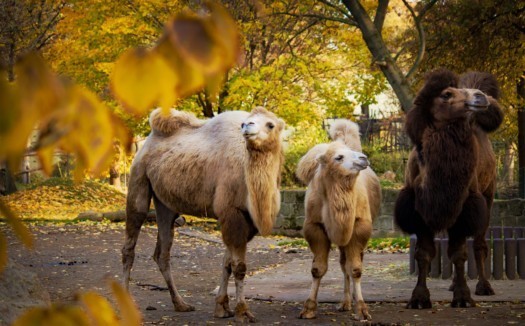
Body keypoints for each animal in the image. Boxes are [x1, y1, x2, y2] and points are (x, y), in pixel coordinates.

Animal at [121, 105, 284, 322]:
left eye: (270, 124)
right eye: (245, 122)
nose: (247, 126)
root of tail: (148, 141)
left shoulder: (245, 222)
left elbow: (227, 263)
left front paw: (222, 307)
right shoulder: (231, 213)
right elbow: (239, 267)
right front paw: (243, 311)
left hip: (166, 204)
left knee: (162, 252)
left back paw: (181, 304)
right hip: (138, 179)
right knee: (130, 245)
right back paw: (125, 304)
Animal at [294, 120, 380, 320]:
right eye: (339, 157)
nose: (363, 158)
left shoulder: (359, 226)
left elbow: (355, 269)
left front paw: (362, 310)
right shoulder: (315, 226)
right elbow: (317, 269)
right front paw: (309, 308)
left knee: (350, 264)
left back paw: (351, 301)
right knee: (343, 264)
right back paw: (346, 303)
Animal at [392, 69, 504, 308]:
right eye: (446, 94)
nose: (481, 97)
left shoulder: (466, 206)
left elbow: (459, 253)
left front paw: (462, 297)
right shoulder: (421, 209)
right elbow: (424, 254)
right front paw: (419, 298)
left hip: (488, 194)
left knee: (479, 243)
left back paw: (484, 286)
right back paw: (453, 284)